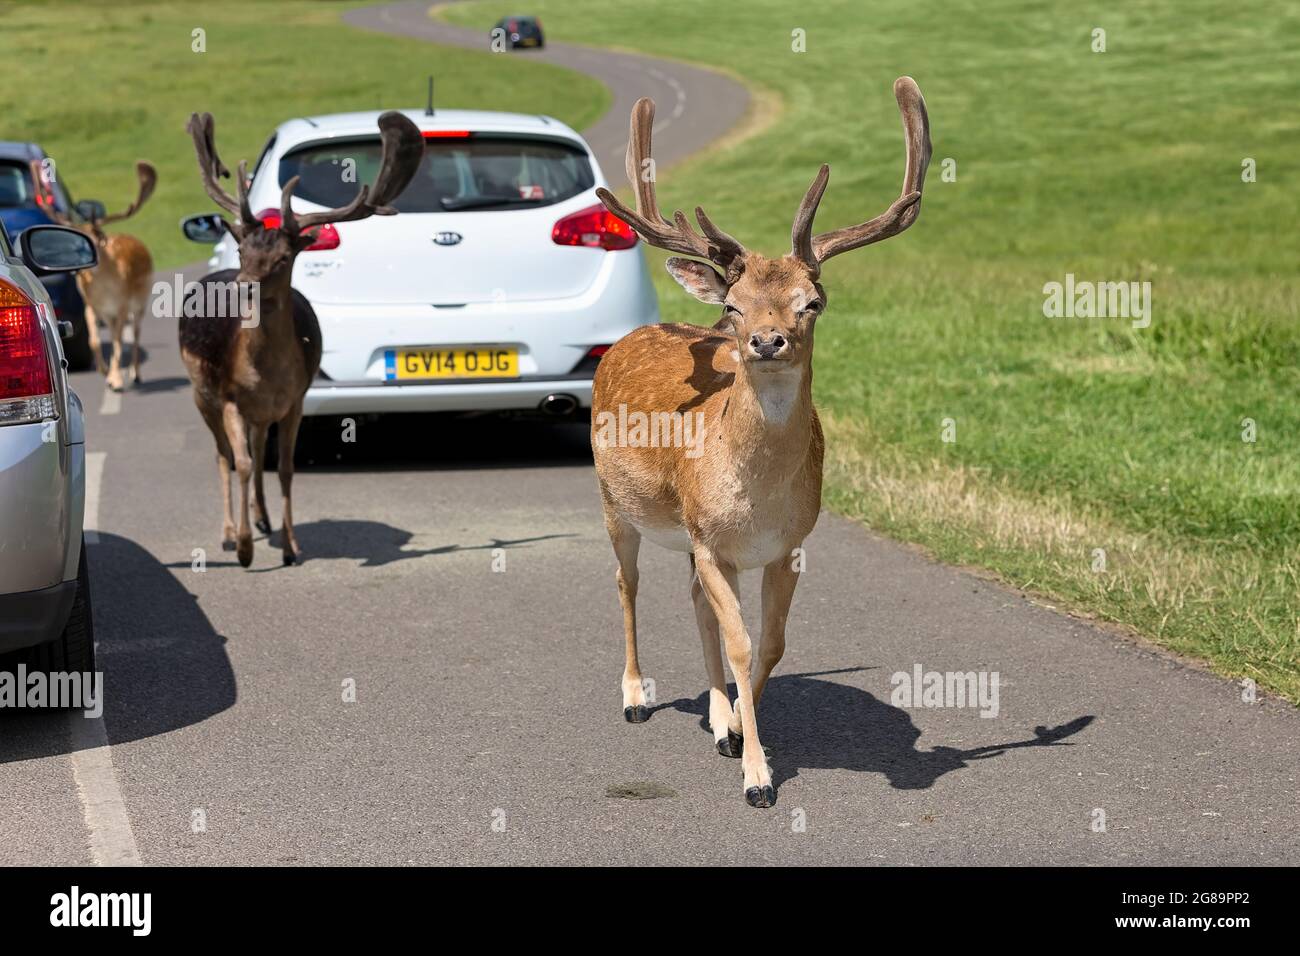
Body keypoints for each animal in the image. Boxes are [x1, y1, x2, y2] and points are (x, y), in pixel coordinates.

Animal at [33, 158, 157, 390]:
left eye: (96, 239)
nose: (82, 266)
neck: (105, 289)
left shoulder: (123, 305)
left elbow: (118, 341)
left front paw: (116, 379)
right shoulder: (91, 306)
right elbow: (94, 341)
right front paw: (105, 372)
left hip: (141, 301)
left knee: (135, 334)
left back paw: (135, 373)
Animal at [178, 110, 418, 567]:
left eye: (283, 257)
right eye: (244, 251)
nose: (242, 286)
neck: (264, 375)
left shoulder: (295, 400)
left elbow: (286, 469)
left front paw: (291, 547)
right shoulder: (230, 396)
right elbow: (240, 462)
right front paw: (244, 549)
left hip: (258, 412)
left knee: (255, 448)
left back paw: (263, 518)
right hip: (201, 393)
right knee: (223, 455)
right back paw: (229, 532)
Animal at [595, 76, 930, 806]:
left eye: (812, 302)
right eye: (733, 305)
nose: (765, 340)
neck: (755, 495)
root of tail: (632, 334)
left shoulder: (784, 545)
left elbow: (768, 642)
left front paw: (734, 731)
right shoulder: (709, 536)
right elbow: (743, 642)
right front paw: (757, 776)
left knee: (696, 602)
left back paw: (717, 715)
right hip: (615, 503)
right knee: (627, 583)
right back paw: (633, 697)